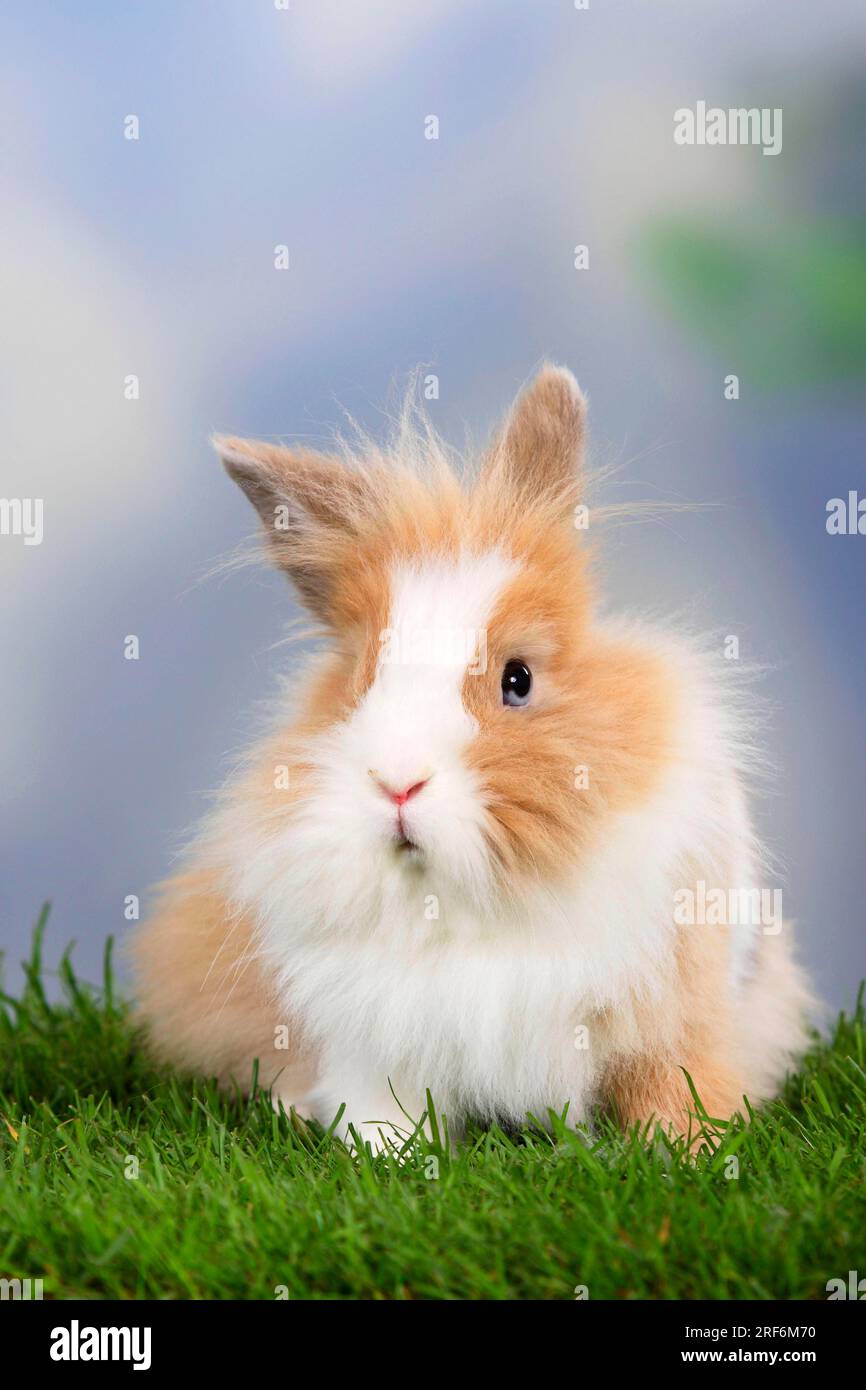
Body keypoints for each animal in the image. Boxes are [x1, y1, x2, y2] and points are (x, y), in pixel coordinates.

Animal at [130, 366, 811, 1150]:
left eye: (519, 678)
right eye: (360, 679)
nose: (398, 783)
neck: (472, 898)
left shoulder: (673, 1009)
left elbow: (675, 1086)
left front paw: (684, 1153)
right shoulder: (373, 1041)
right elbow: (383, 1111)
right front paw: (387, 1156)